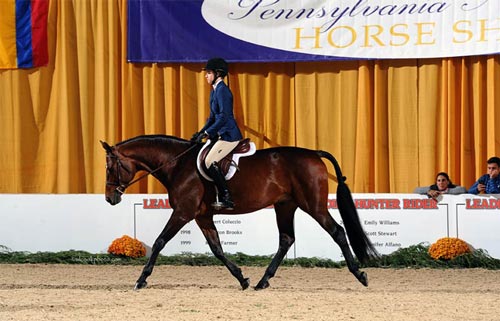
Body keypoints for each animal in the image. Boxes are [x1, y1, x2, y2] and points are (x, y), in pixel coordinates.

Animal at [102, 134, 378, 288]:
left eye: (109, 168)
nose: (109, 198)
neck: (178, 164)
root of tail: (313, 154)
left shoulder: (183, 212)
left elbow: (160, 242)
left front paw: (141, 280)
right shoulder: (202, 215)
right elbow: (217, 248)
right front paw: (242, 279)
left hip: (314, 205)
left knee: (337, 232)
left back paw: (360, 275)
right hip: (285, 206)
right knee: (286, 239)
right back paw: (262, 281)